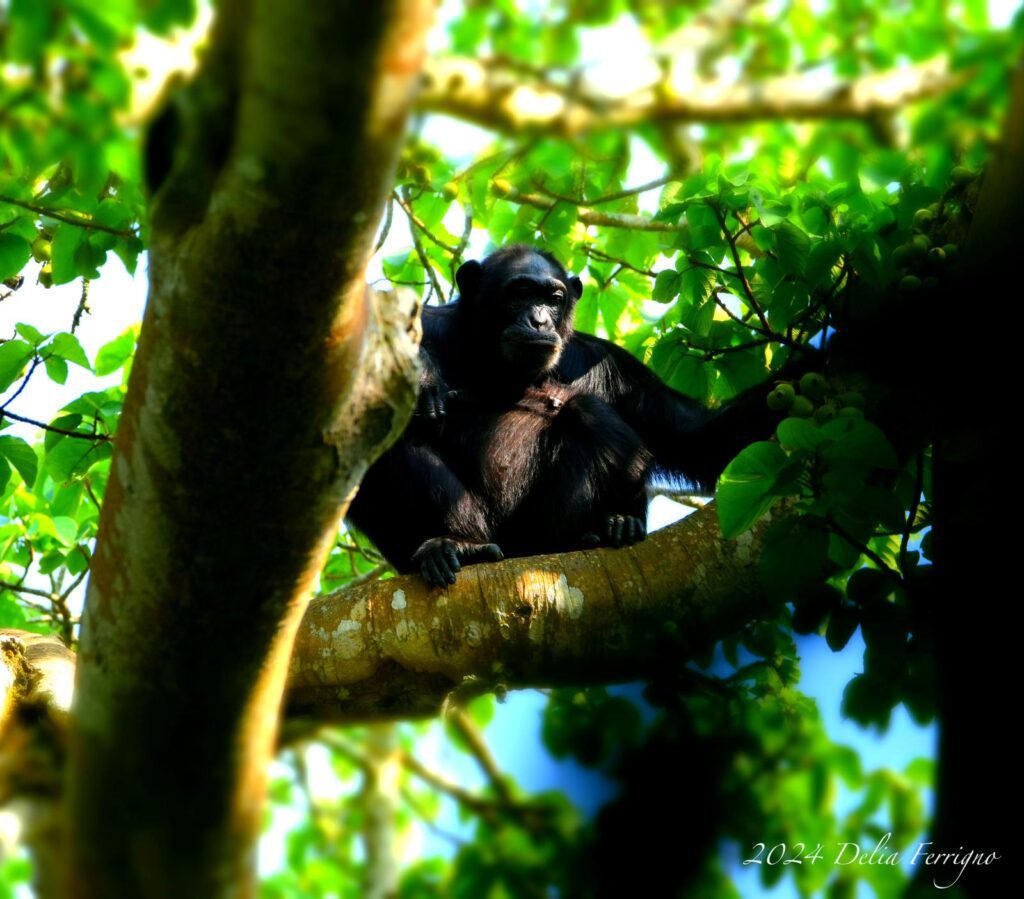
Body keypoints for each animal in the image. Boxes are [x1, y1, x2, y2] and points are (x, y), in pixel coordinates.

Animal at [348, 242, 786, 589]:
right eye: (521, 293)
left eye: (554, 297)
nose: (539, 319)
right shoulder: (433, 324)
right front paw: (425, 376)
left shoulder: (609, 363)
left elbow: (698, 438)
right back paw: (451, 544)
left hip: (538, 534)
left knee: (589, 413)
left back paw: (604, 529)